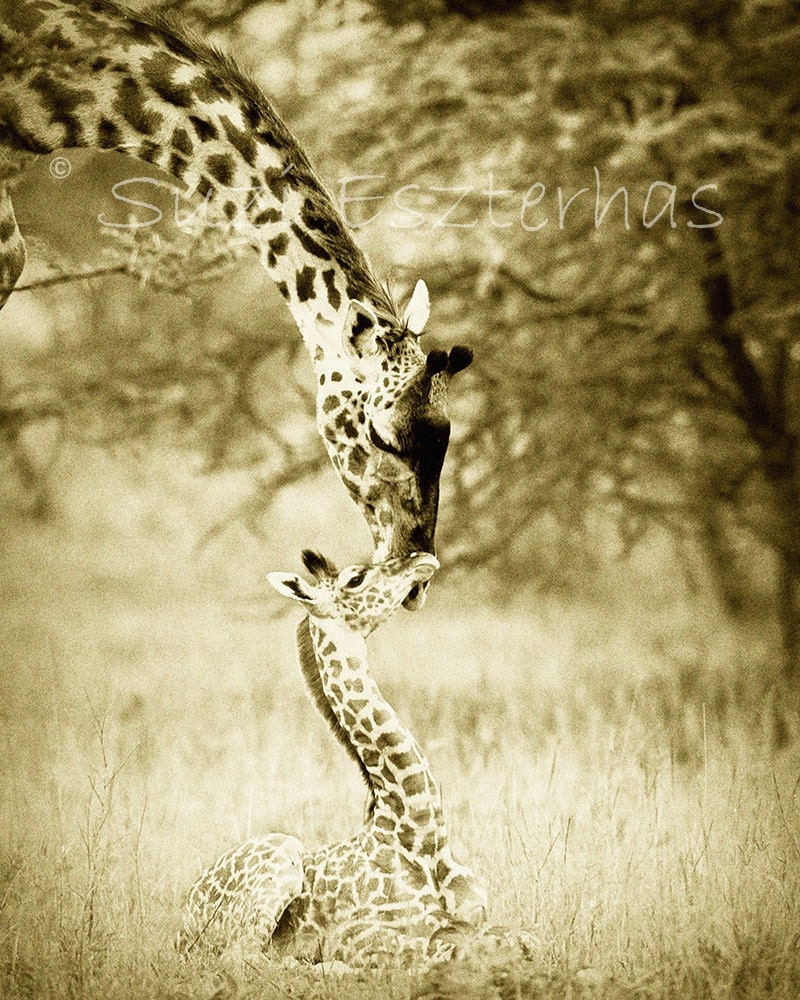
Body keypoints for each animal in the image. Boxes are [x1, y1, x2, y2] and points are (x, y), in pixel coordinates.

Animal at [179, 548, 487, 966]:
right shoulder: (361, 935)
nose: (422, 559)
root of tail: (181, 927)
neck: (420, 835)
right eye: (355, 579)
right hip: (280, 853)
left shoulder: (479, 916)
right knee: (246, 958)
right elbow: (433, 954)